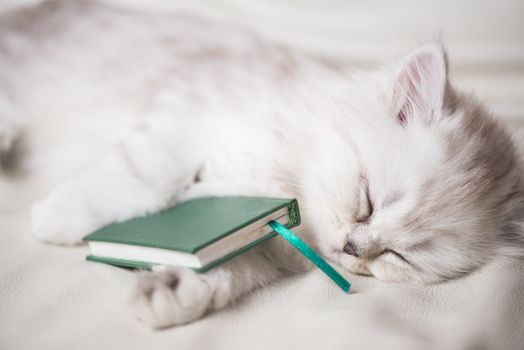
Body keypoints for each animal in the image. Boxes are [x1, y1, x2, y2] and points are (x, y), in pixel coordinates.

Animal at [1, 0, 524, 328]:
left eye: (399, 256)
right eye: (368, 201)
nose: (352, 249)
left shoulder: (260, 241)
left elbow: (225, 270)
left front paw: (169, 293)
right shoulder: (184, 116)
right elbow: (140, 181)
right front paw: (55, 220)